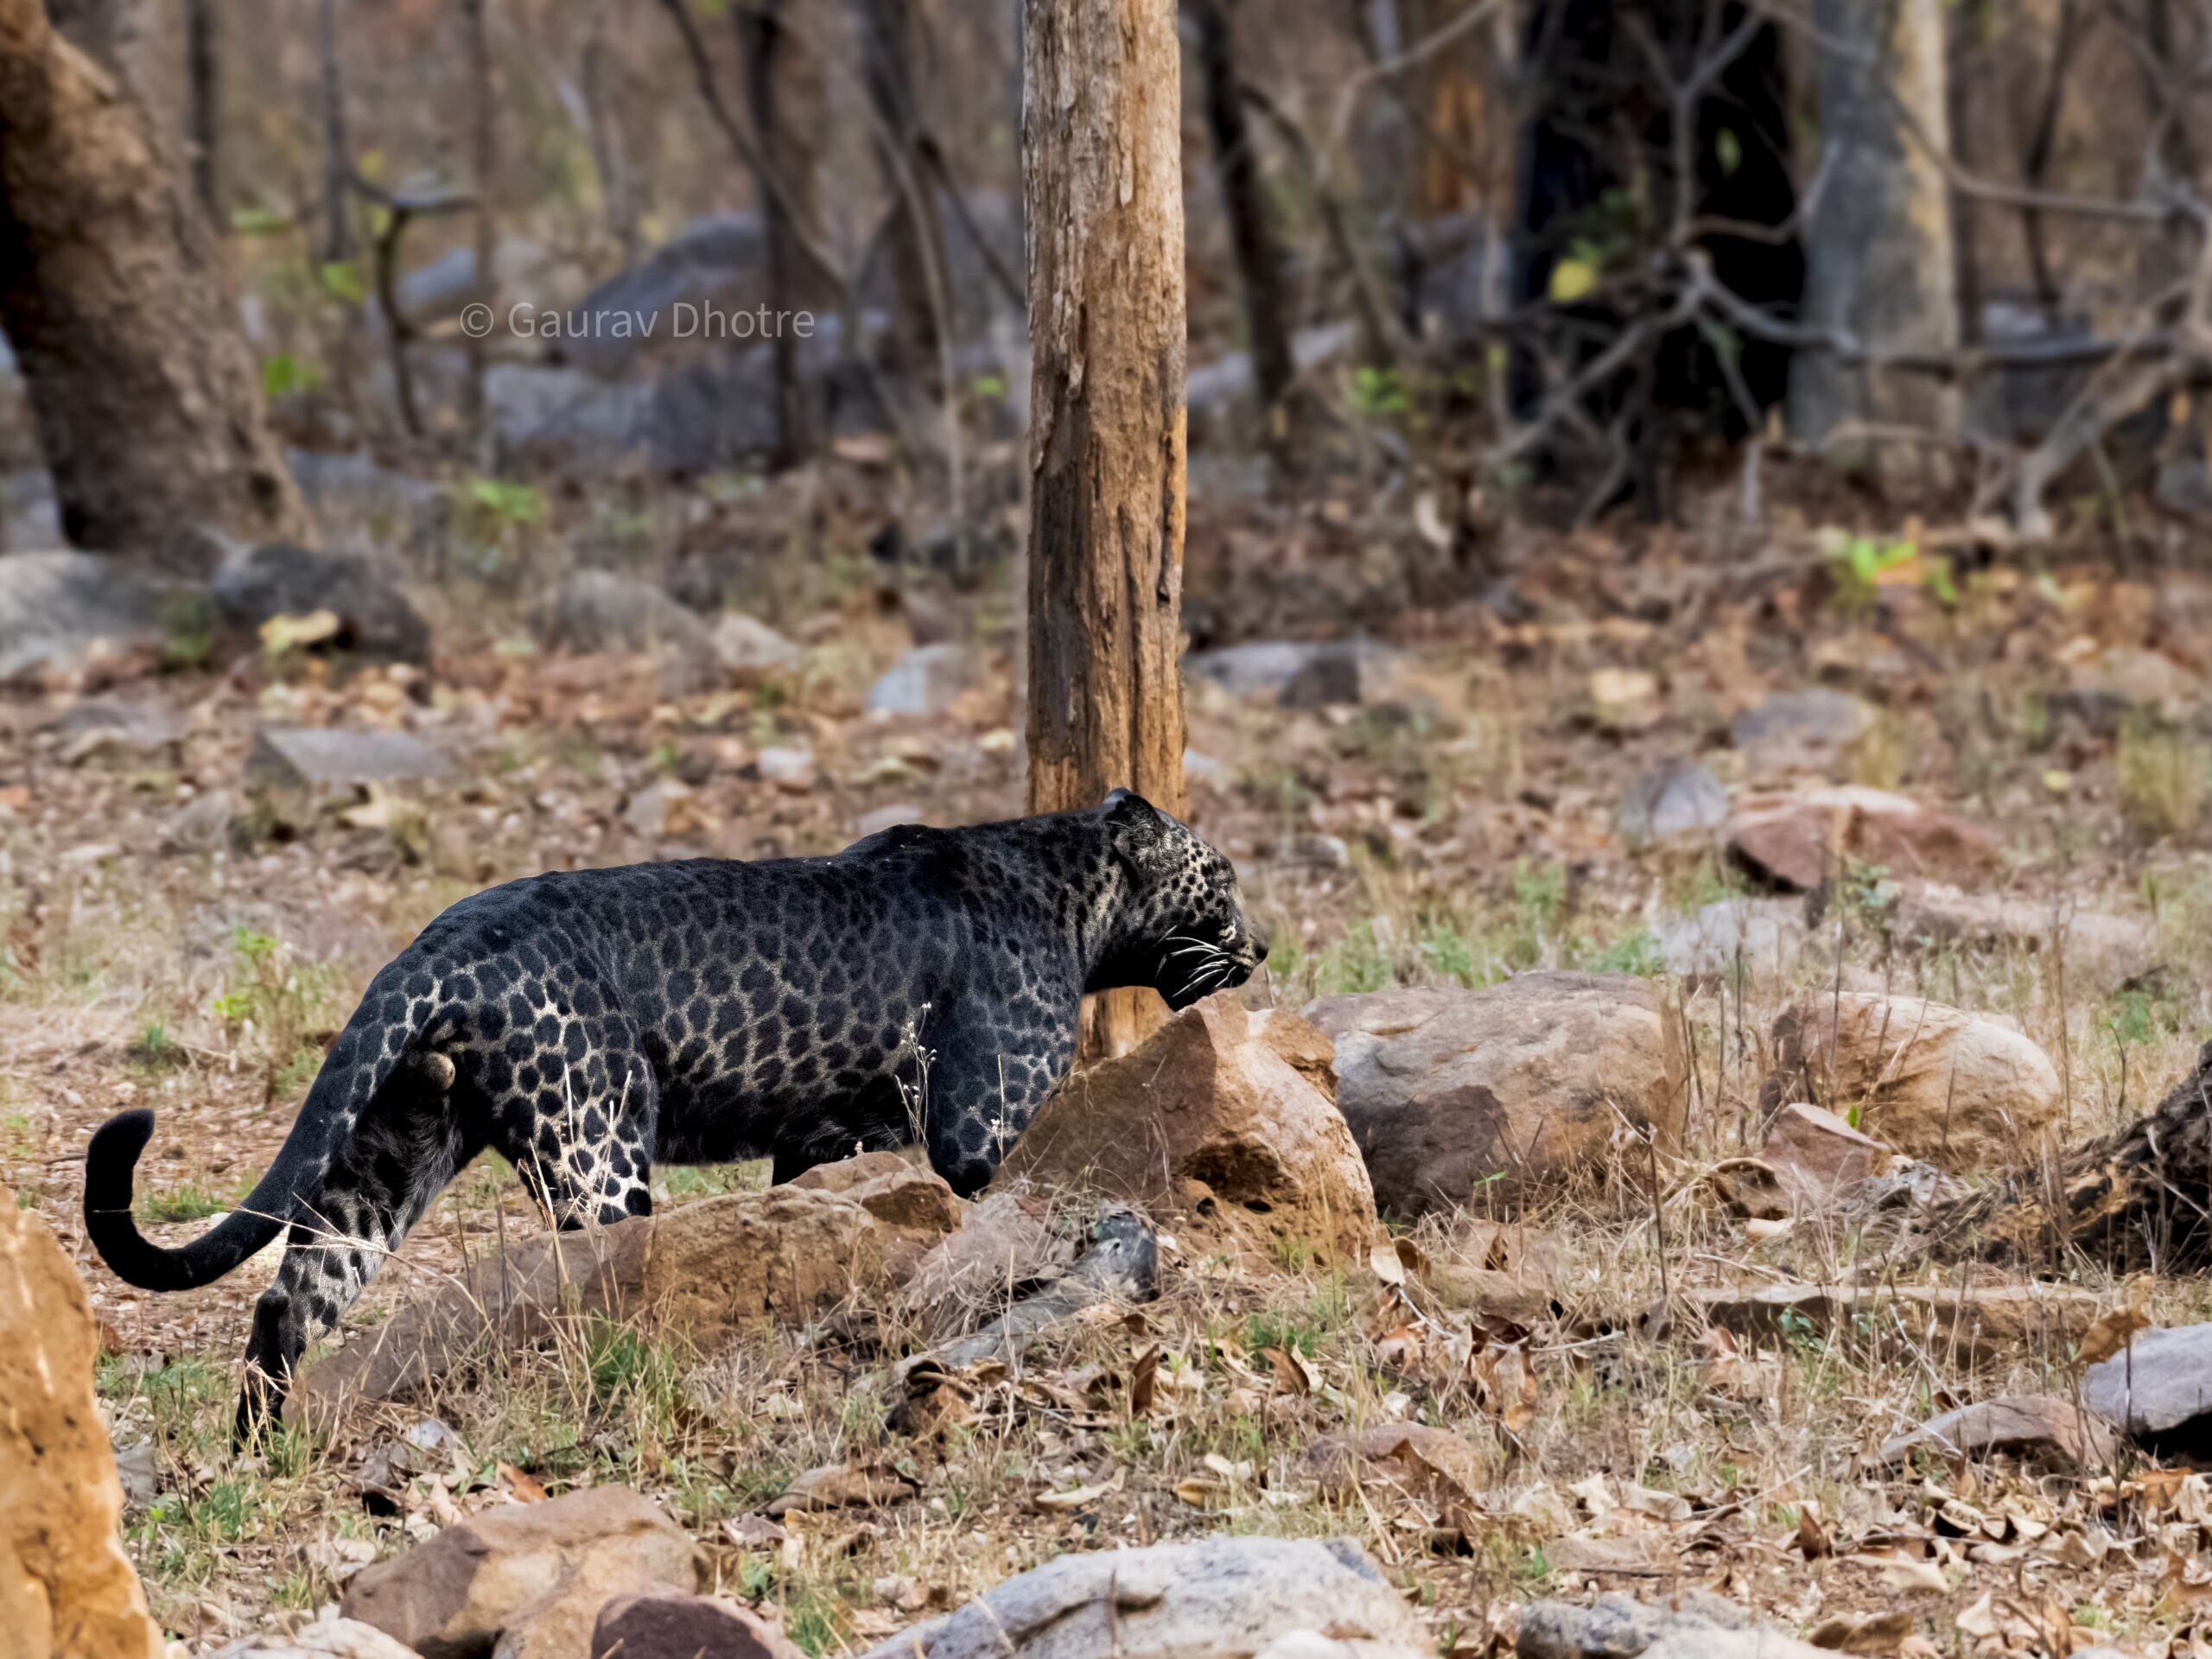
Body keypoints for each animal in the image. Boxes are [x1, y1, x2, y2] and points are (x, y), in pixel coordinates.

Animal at [81, 791, 1265, 1442]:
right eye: (1224, 878)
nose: (1260, 947)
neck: (1073, 896)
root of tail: (437, 942)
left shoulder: (838, 1136)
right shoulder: (979, 1125)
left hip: (387, 1155)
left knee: (287, 1305)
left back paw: (259, 1463)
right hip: (597, 1144)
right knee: (592, 1286)